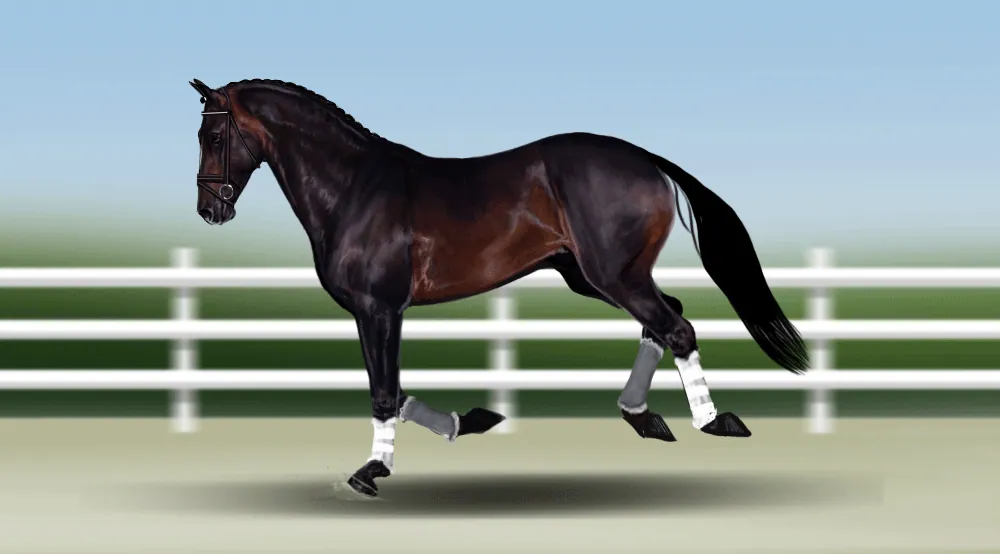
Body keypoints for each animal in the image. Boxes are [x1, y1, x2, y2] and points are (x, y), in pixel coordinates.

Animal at [188, 77, 810, 498]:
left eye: (215, 134)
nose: (210, 210)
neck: (353, 188)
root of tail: (646, 161)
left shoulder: (378, 308)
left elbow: (385, 392)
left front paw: (371, 472)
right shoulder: (376, 312)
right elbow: (397, 391)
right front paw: (470, 421)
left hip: (613, 275)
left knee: (676, 326)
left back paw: (713, 422)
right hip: (595, 276)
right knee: (665, 321)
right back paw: (643, 416)